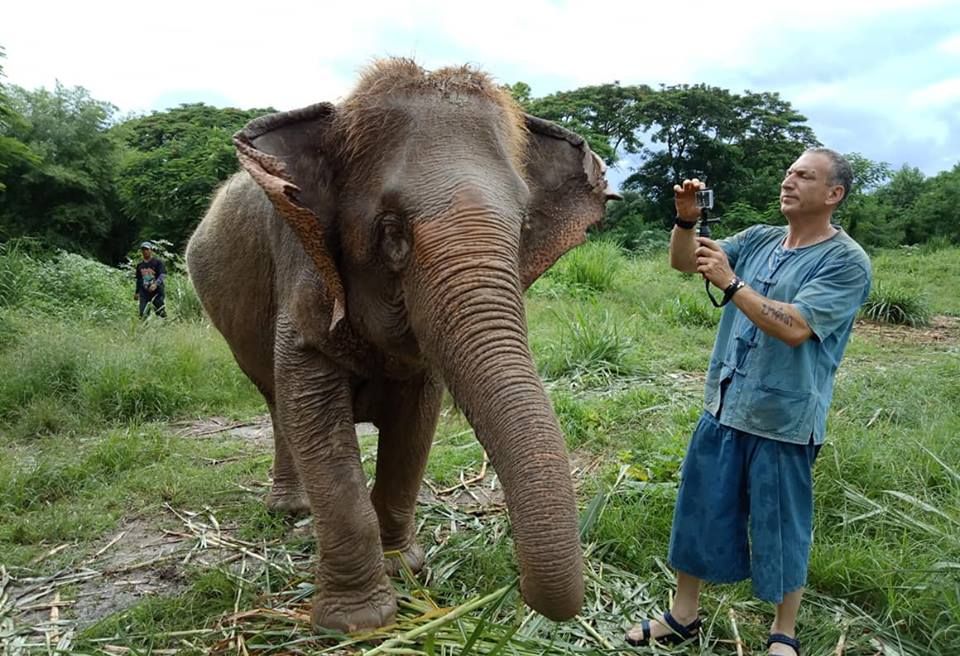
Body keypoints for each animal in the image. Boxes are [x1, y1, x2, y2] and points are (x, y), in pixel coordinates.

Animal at [185, 58, 619, 633]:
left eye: (524, 224)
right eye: (391, 231)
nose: (518, 587)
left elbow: (416, 426)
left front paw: (407, 571)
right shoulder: (301, 271)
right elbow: (315, 420)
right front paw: (356, 623)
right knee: (277, 405)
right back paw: (291, 512)